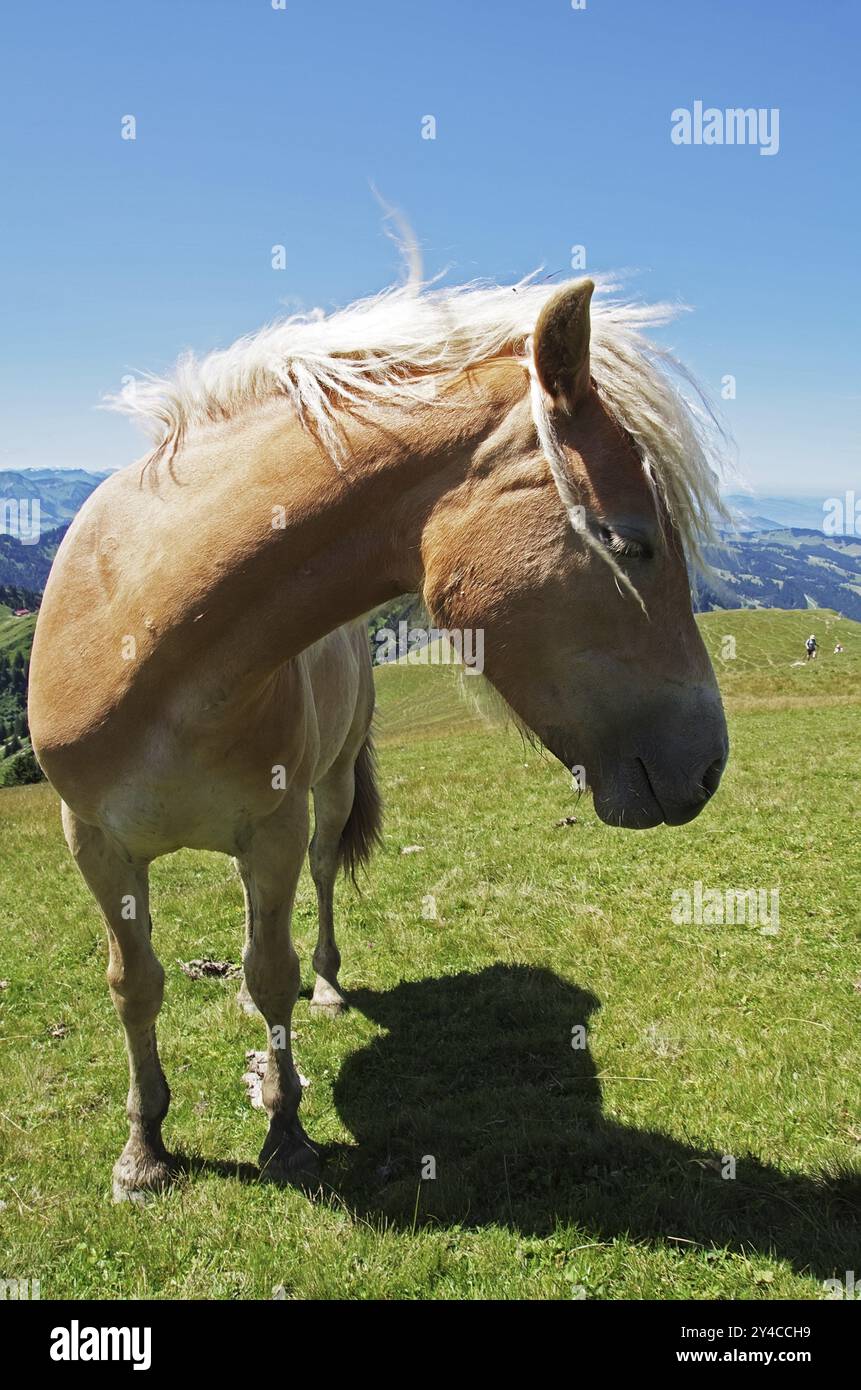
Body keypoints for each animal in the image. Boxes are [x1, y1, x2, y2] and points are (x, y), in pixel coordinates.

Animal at [28, 268, 728, 1195]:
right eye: (629, 542)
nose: (708, 764)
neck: (146, 636)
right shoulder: (95, 842)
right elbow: (132, 984)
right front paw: (144, 1151)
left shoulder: (274, 829)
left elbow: (272, 973)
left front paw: (285, 1128)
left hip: (321, 800)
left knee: (320, 885)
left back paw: (324, 991)